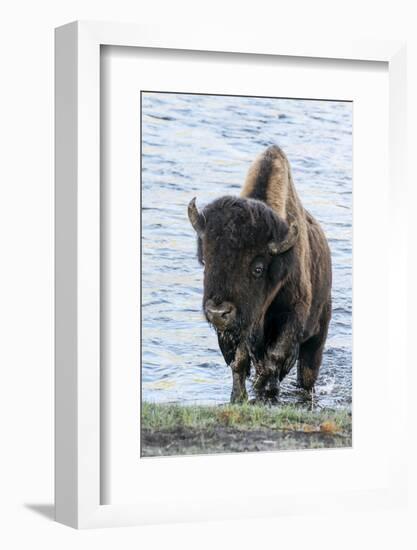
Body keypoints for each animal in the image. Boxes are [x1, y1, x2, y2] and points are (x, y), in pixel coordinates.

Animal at [188, 146, 332, 406]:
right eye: (205, 261)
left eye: (258, 268)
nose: (218, 313)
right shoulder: (242, 328)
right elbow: (240, 361)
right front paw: (239, 397)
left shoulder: (292, 317)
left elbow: (274, 358)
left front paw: (260, 390)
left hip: (317, 334)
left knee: (306, 376)